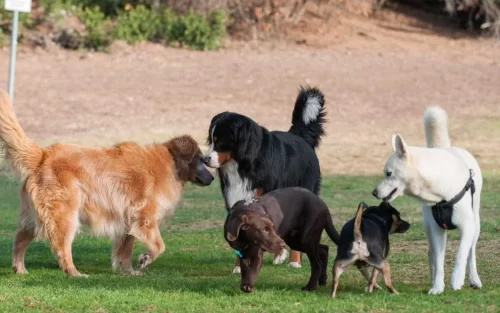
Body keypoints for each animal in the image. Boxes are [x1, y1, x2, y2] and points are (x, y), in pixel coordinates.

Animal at [0, 90, 213, 276]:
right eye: (201, 159)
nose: (212, 178)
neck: (171, 162)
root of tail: (43, 155)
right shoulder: (145, 217)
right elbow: (159, 246)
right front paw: (144, 259)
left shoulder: (128, 221)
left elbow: (125, 250)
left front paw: (129, 271)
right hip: (65, 216)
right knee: (61, 248)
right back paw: (74, 273)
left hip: (33, 218)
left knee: (19, 241)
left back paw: (19, 269)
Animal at [203, 86, 328, 272]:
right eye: (210, 140)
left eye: (219, 142)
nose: (204, 159)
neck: (243, 164)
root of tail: (299, 137)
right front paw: (239, 266)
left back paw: (293, 260)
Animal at [374, 106, 482, 294]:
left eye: (388, 173)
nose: (374, 192)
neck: (441, 194)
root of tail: (447, 148)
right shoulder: (437, 230)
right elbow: (438, 261)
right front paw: (437, 287)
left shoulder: (467, 227)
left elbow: (461, 253)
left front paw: (457, 279)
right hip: (429, 228)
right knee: (431, 254)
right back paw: (433, 281)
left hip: (476, 224)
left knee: (471, 252)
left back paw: (474, 279)